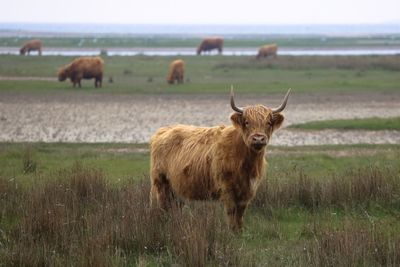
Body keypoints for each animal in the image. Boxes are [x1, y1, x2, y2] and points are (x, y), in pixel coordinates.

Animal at [150, 87, 290, 231]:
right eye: (247, 122)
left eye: (268, 123)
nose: (258, 139)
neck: (247, 162)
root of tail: (163, 130)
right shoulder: (226, 188)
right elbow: (232, 213)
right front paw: (232, 231)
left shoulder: (248, 190)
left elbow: (240, 214)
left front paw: (240, 231)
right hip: (161, 183)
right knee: (162, 207)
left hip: (177, 189)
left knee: (174, 208)